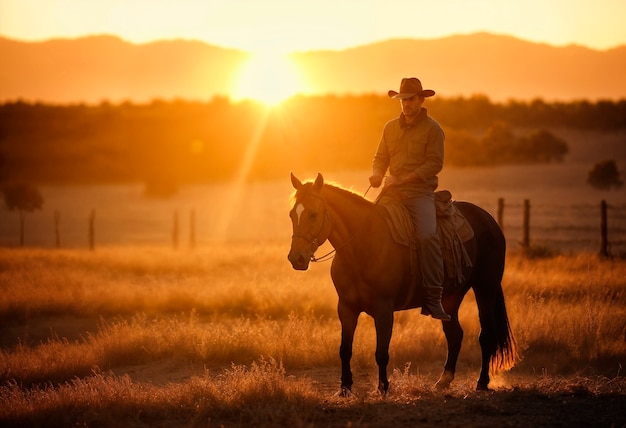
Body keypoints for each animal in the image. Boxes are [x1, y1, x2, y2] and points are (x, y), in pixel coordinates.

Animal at [286, 172, 516, 396]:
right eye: (291, 215)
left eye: (313, 213)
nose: (296, 258)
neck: (362, 246)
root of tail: (490, 220)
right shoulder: (346, 307)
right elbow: (345, 349)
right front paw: (345, 388)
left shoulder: (384, 309)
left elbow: (381, 352)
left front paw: (383, 388)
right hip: (451, 297)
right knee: (455, 334)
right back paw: (443, 381)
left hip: (485, 289)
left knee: (487, 333)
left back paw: (482, 382)